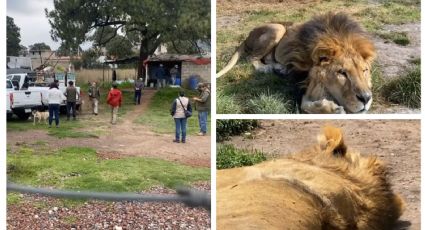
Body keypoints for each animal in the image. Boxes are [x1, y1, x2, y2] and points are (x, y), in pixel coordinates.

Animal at [217, 12, 376, 113]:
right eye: (342, 73)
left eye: (364, 71)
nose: (366, 98)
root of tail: (248, 35)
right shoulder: (301, 82)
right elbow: (305, 105)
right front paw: (334, 109)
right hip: (278, 28)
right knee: (252, 58)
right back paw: (266, 69)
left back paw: (280, 68)